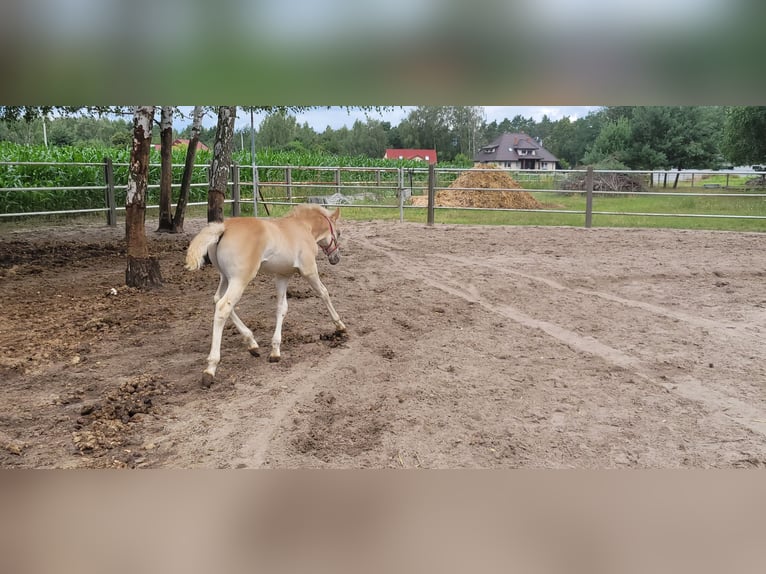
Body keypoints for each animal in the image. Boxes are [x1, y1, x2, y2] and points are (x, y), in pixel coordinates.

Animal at [186, 205, 348, 390]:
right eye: (339, 233)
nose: (336, 258)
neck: (303, 227)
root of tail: (223, 227)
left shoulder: (282, 275)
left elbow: (281, 308)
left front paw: (275, 351)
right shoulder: (309, 270)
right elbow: (324, 293)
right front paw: (340, 326)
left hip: (225, 277)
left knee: (217, 300)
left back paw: (252, 343)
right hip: (240, 279)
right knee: (223, 307)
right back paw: (210, 369)